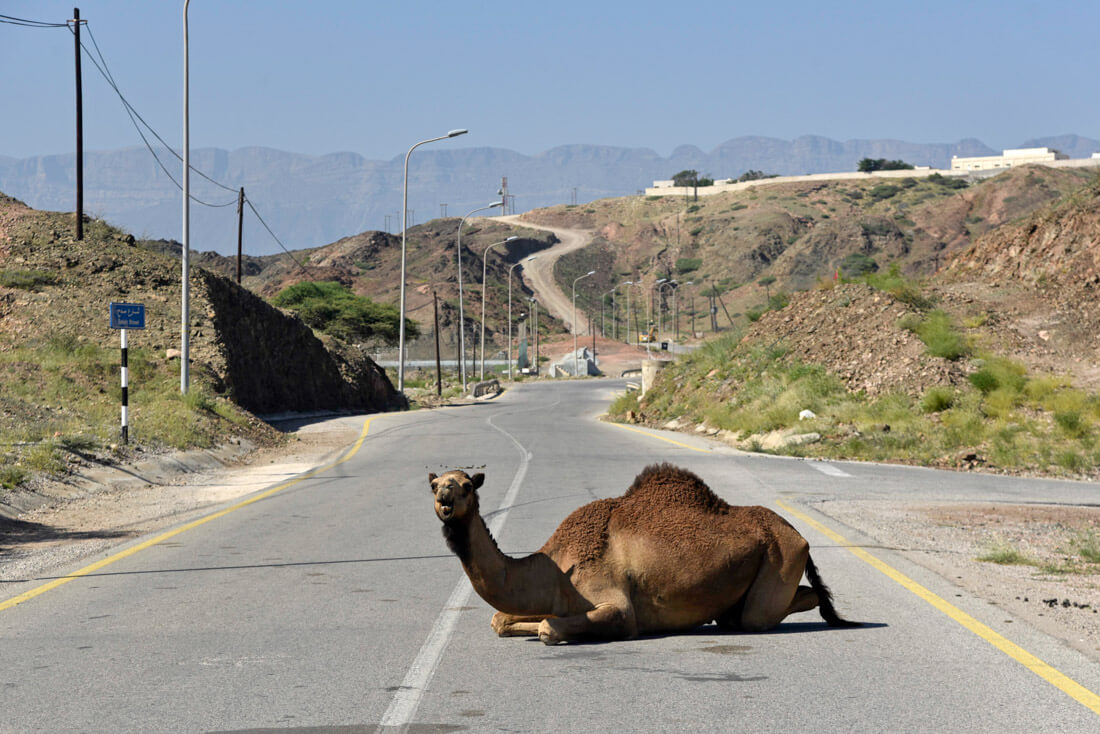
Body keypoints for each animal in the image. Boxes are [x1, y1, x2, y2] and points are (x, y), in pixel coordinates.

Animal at [424, 462, 853, 647]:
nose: (445, 501)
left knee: (764, 613)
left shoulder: (614, 603)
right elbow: (500, 619)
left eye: (466, 485)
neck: (556, 565)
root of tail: (798, 534)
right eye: (435, 485)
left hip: (781, 559)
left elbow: (551, 627)